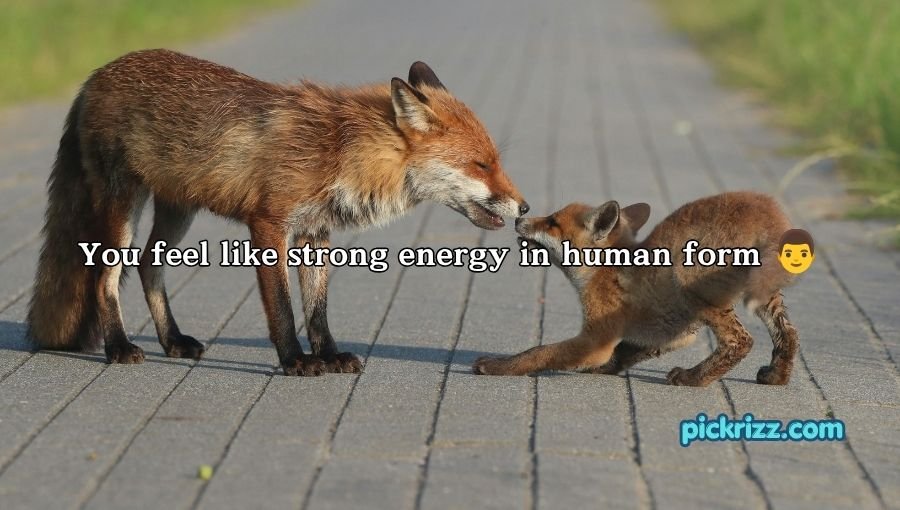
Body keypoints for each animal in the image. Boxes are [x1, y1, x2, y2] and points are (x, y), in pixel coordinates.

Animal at [27, 49, 528, 376]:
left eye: (495, 162)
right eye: (481, 165)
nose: (525, 207)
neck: (341, 150)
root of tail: (96, 74)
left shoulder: (315, 231)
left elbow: (318, 310)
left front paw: (329, 355)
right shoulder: (269, 224)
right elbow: (284, 309)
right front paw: (295, 360)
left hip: (177, 210)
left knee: (150, 268)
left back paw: (172, 341)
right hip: (123, 210)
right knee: (104, 278)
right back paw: (118, 346)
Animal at [474, 191, 801, 387]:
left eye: (552, 222)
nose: (519, 217)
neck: (603, 269)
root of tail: (766, 207)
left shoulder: (595, 339)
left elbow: (538, 352)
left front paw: (496, 366)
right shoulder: (674, 334)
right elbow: (624, 352)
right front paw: (604, 369)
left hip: (691, 284)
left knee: (740, 341)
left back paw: (692, 378)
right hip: (766, 297)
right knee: (789, 334)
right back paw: (777, 375)